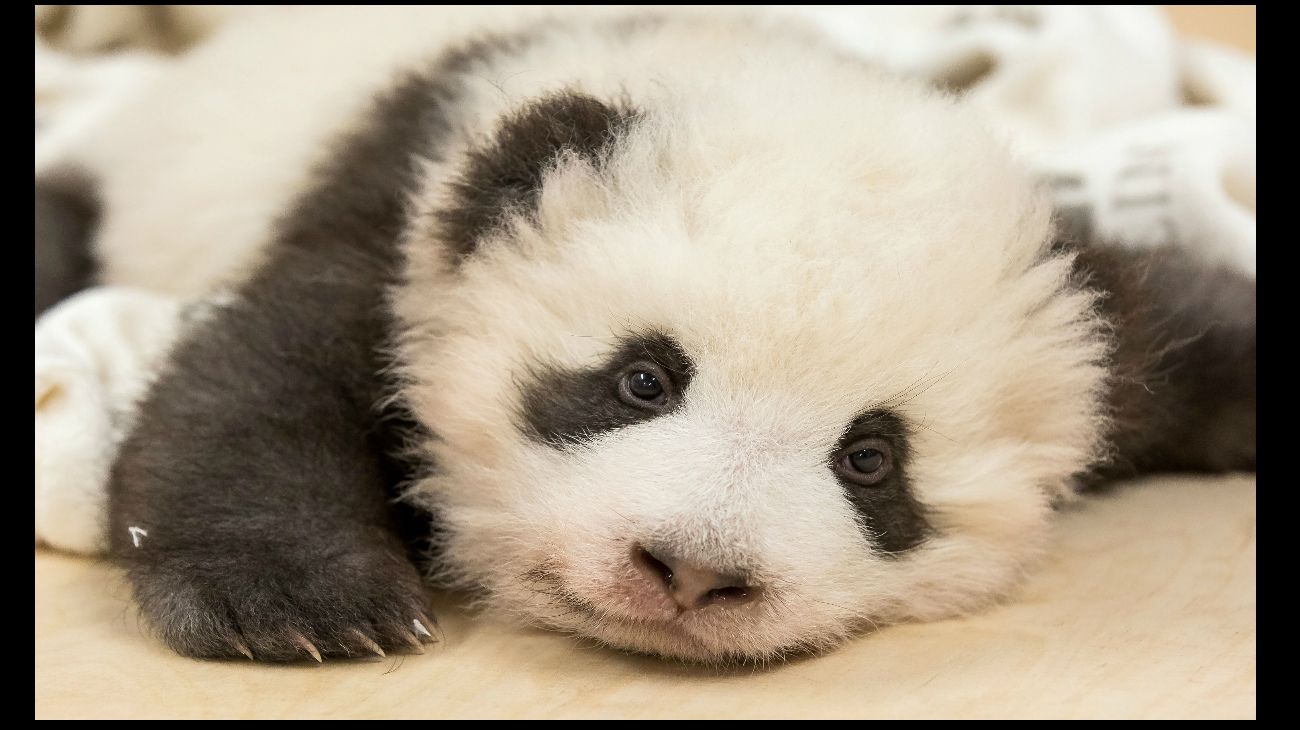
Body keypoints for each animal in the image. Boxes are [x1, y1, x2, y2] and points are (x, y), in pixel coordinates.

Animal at [40, 7, 1253, 665]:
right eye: (641, 379)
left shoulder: (1105, 322)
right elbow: (259, 378)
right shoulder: (405, 211)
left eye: (871, 459)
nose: (690, 571)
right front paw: (297, 605)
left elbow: (1182, 327)